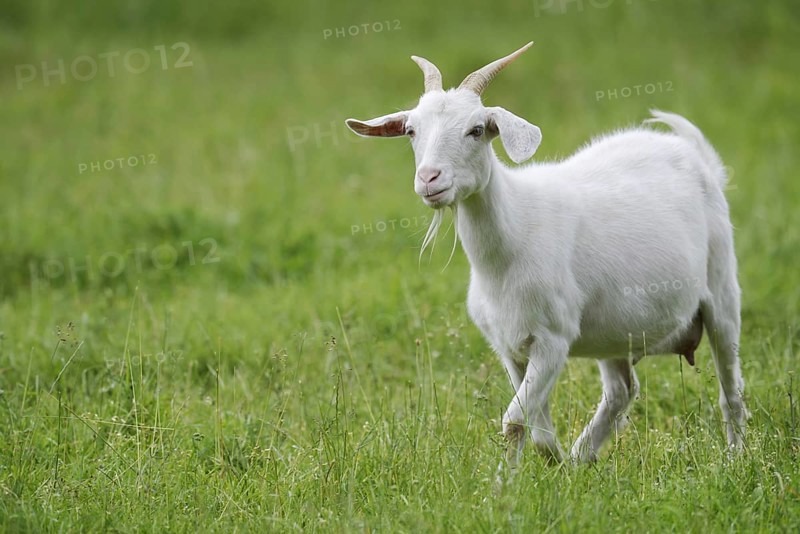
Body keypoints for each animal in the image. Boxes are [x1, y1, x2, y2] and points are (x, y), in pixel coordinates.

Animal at [345, 42, 746, 475]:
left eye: (477, 130)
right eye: (411, 131)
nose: (429, 179)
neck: (508, 249)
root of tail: (695, 155)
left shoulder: (553, 339)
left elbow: (514, 420)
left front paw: (507, 482)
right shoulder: (510, 346)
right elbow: (535, 426)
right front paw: (553, 468)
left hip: (722, 289)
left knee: (731, 388)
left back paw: (735, 458)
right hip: (615, 329)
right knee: (622, 391)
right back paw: (584, 455)